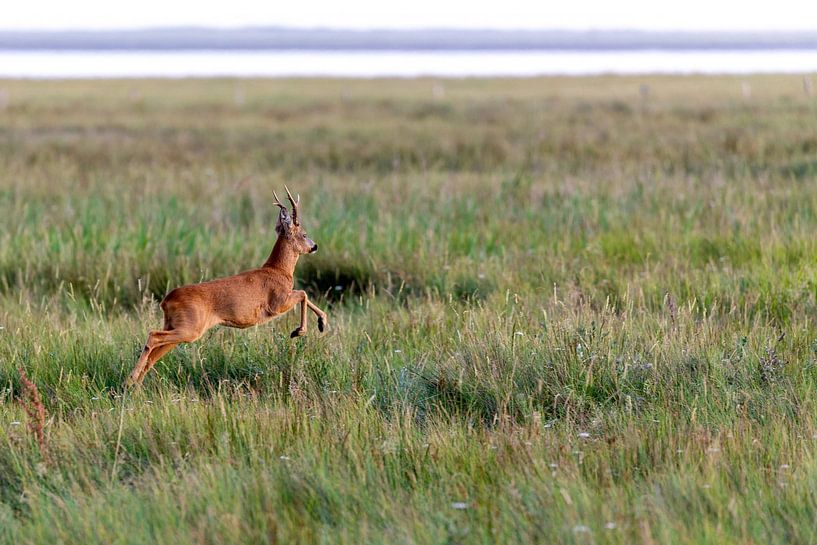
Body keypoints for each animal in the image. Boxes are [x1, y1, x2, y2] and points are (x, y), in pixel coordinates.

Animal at [123, 188, 326, 386]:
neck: (279, 270)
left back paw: (133, 385)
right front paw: (301, 330)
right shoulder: (277, 303)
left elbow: (304, 295)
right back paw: (131, 380)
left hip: (176, 326)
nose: (315, 246)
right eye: (304, 234)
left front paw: (322, 323)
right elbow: (303, 293)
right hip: (190, 328)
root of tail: (166, 301)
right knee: (153, 336)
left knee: (153, 354)